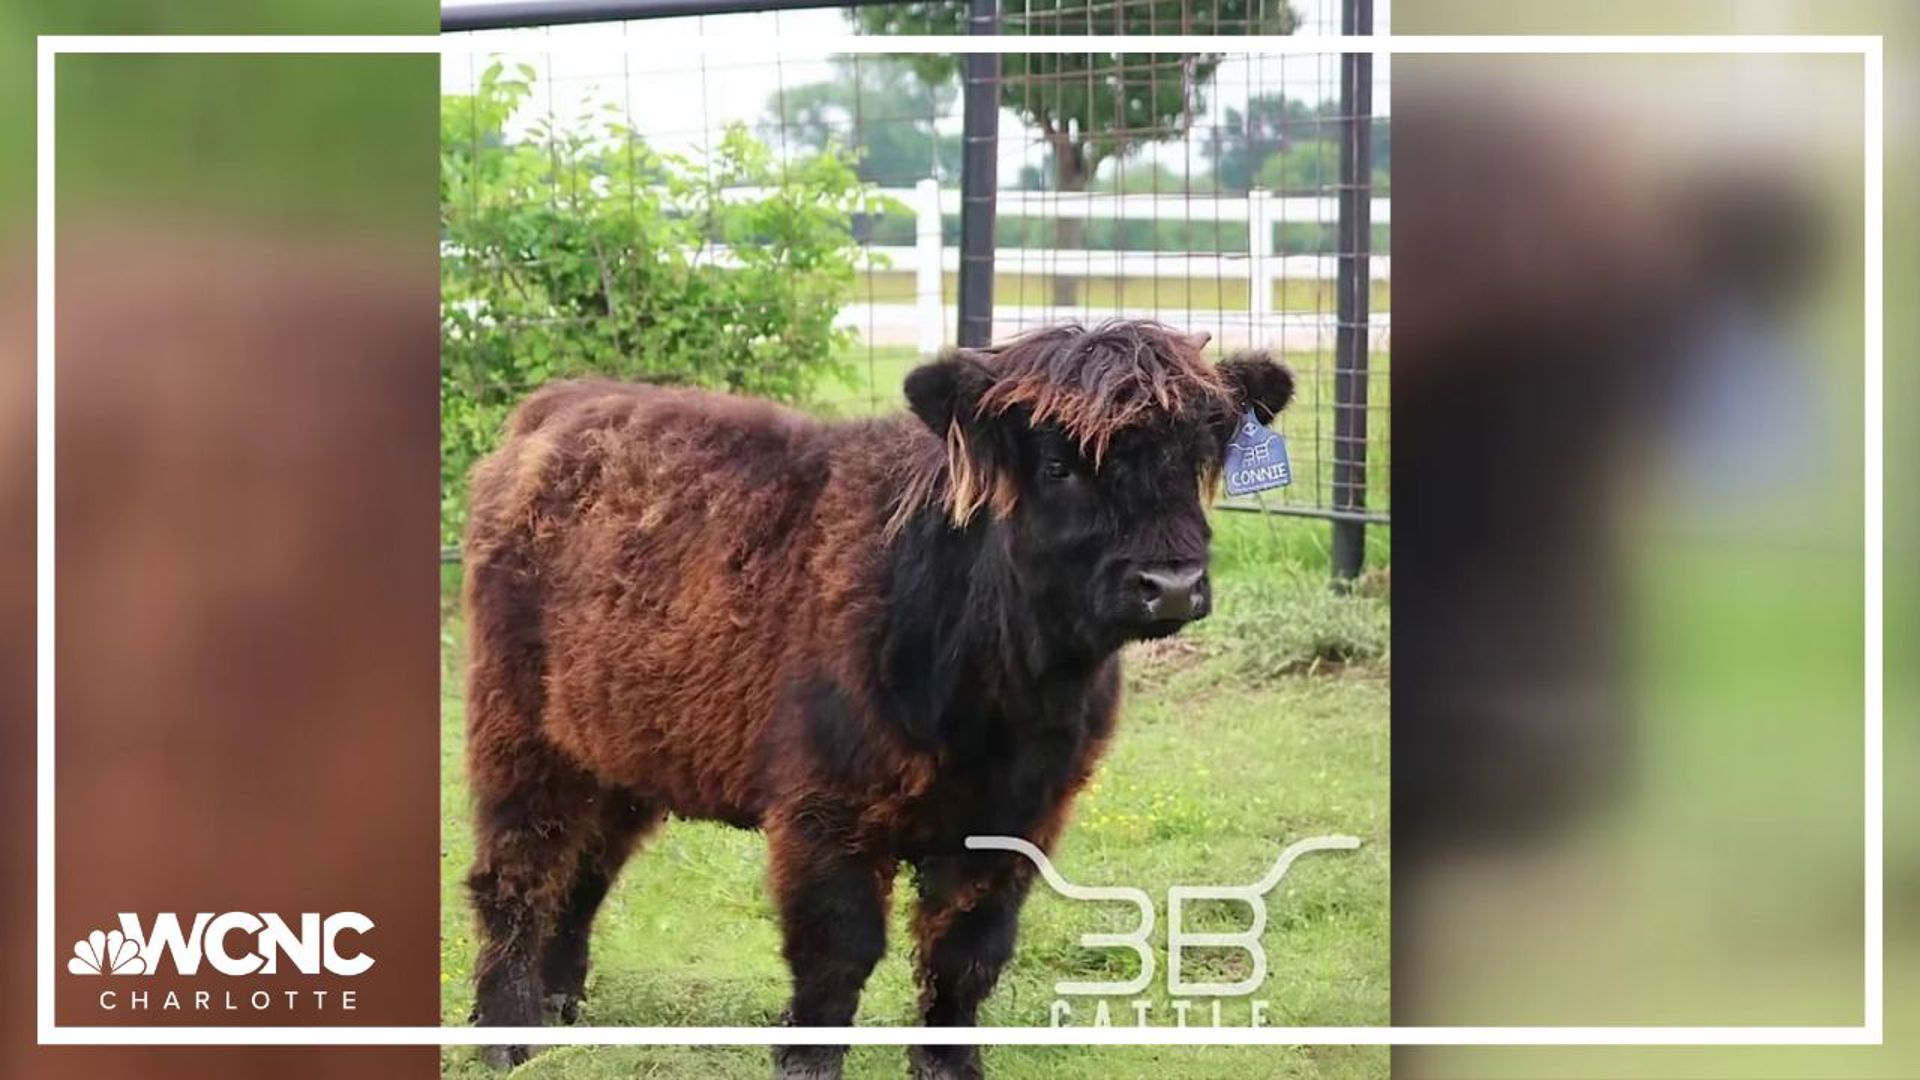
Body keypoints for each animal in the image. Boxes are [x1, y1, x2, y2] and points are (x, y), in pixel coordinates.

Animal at [460, 317, 1290, 1068]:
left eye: (1198, 456)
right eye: (1057, 466)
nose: (1170, 583)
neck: (1001, 703)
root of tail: (562, 402)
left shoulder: (1018, 821)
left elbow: (968, 952)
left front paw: (951, 1065)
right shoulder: (827, 810)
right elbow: (838, 949)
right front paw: (807, 1062)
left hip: (617, 750)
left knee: (584, 871)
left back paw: (561, 1006)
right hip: (516, 732)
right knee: (518, 871)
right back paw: (507, 1033)